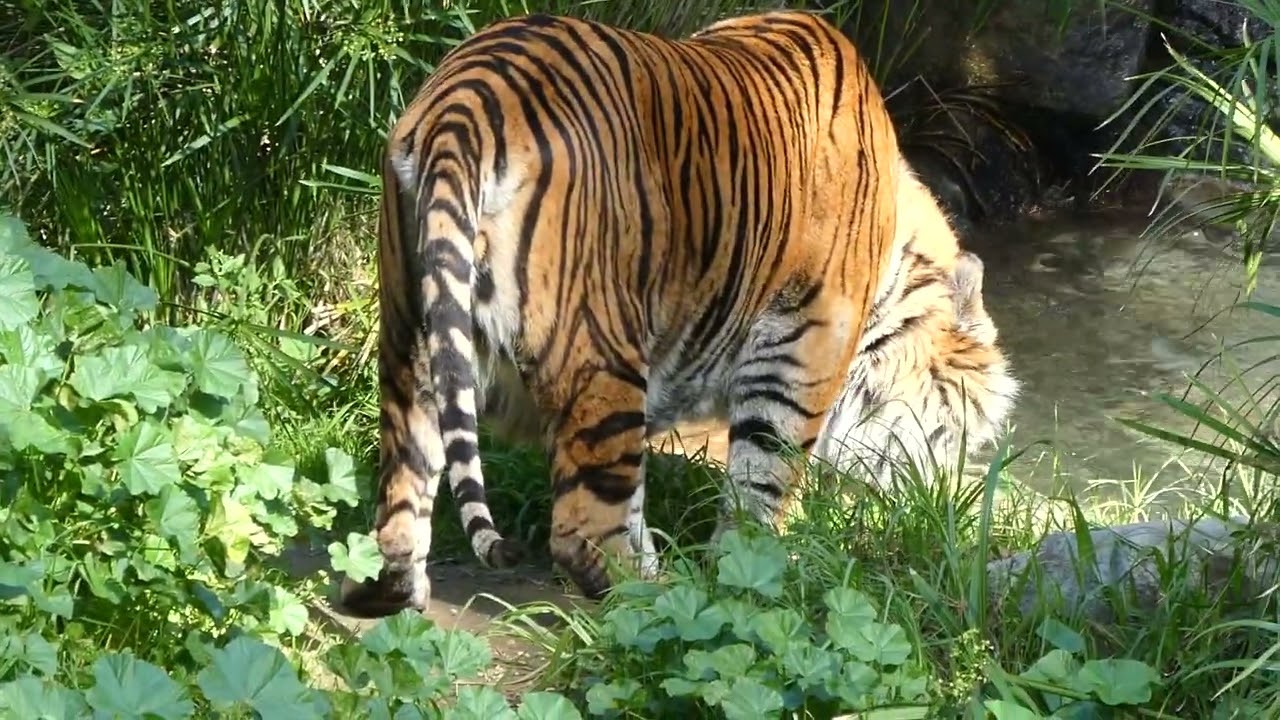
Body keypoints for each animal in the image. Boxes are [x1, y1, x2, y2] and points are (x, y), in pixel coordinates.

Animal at [337, 9, 1017, 618]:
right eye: (962, 432)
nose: (944, 505)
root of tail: (463, 105)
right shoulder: (804, 346)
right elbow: (764, 475)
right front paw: (761, 570)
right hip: (600, 354)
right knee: (582, 532)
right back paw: (661, 599)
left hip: (413, 341)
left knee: (402, 493)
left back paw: (393, 592)